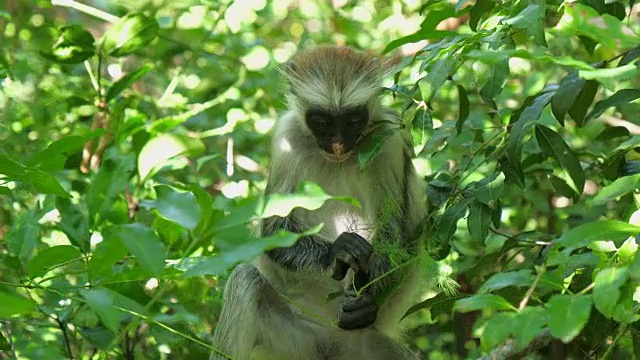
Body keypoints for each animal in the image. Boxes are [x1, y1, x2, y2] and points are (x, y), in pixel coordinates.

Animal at [212, 45, 428, 360]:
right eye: (321, 122)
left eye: (353, 121)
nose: (338, 145)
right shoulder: (287, 137)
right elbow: (272, 231)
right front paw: (337, 252)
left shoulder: (388, 138)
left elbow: (394, 233)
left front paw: (364, 300)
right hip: (297, 342)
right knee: (245, 281)